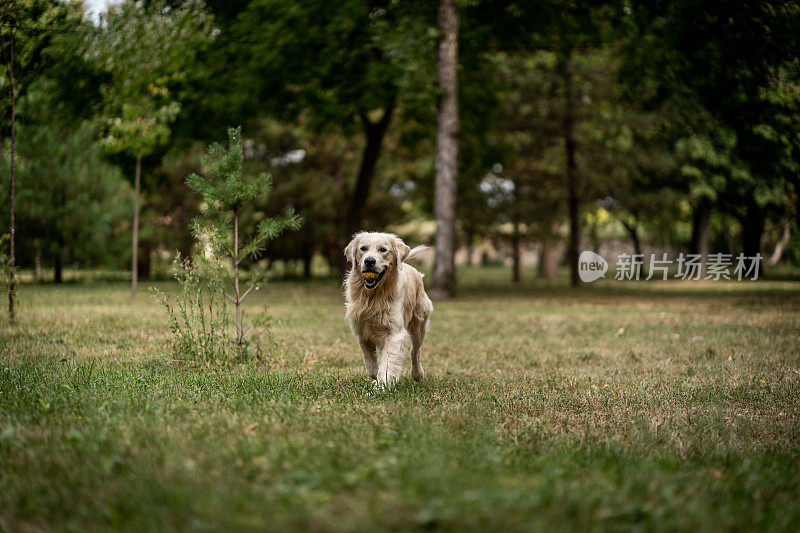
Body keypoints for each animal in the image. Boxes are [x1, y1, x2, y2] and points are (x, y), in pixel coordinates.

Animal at [342, 231, 432, 384]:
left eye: (383, 250)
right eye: (363, 248)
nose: (369, 261)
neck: (374, 296)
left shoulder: (394, 332)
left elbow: (389, 360)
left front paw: (383, 384)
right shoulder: (362, 331)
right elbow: (370, 364)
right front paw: (376, 377)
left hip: (419, 324)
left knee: (415, 351)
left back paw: (417, 374)